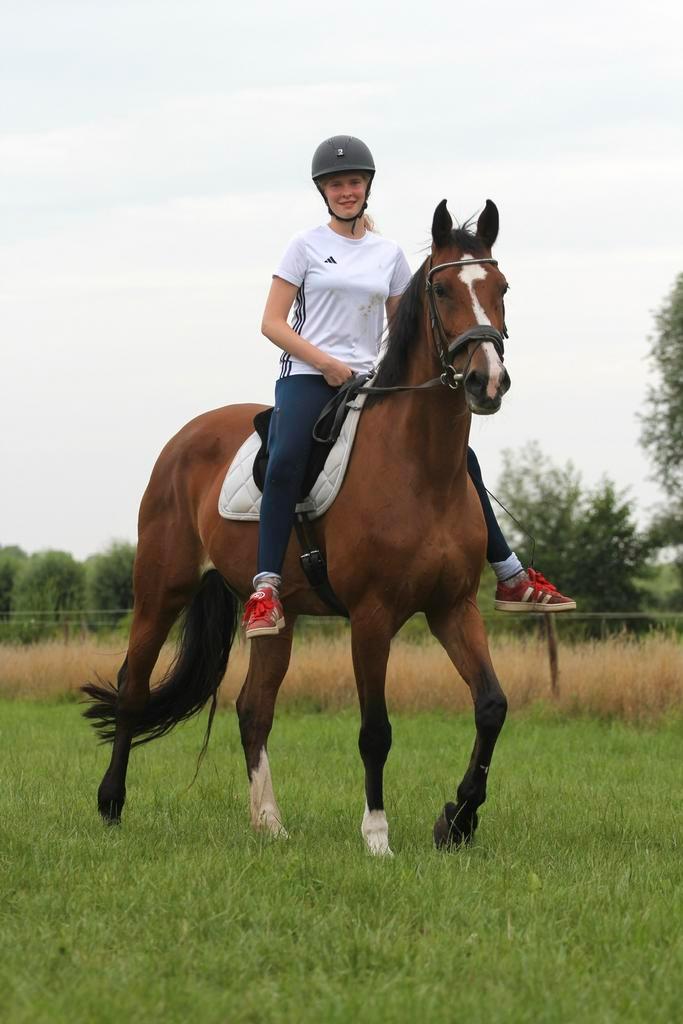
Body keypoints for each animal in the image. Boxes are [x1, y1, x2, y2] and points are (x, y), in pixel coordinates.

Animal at [83, 198, 512, 855]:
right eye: (442, 289)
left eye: (502, 288)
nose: (486, 382)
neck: (420, 467)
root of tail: (185, 437)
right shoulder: (372, 616)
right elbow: (375, 730)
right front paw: (378, 836)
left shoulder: (452, 607)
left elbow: (491, 705)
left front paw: (457, 820)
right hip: (160, 589)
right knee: (134, 687)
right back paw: (111, 804)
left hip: (275, 619)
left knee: (252, 708)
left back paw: (269, 823)